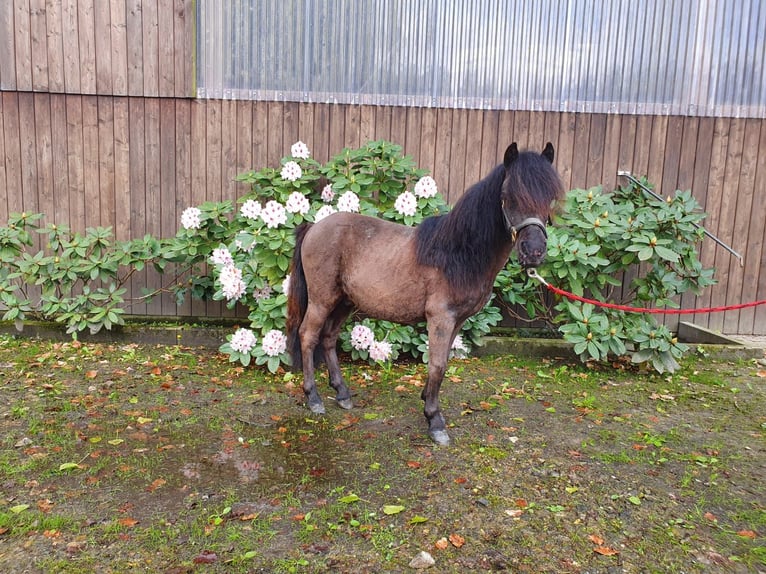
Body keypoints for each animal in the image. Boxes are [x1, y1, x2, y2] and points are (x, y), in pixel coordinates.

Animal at [286, 143, 564, 446]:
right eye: (508, 197)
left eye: (549, 197)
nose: (534, 252)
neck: (457, 253)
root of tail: (314, 227)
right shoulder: (440, 319)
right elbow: (438, 365)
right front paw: (435, 420)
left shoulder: (458, 321)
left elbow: (442, 364)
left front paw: (427, 400)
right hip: (322, 300)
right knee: (308, 335)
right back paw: (313, 398)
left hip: (345, 302)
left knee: (328, 337)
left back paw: (342, 394)